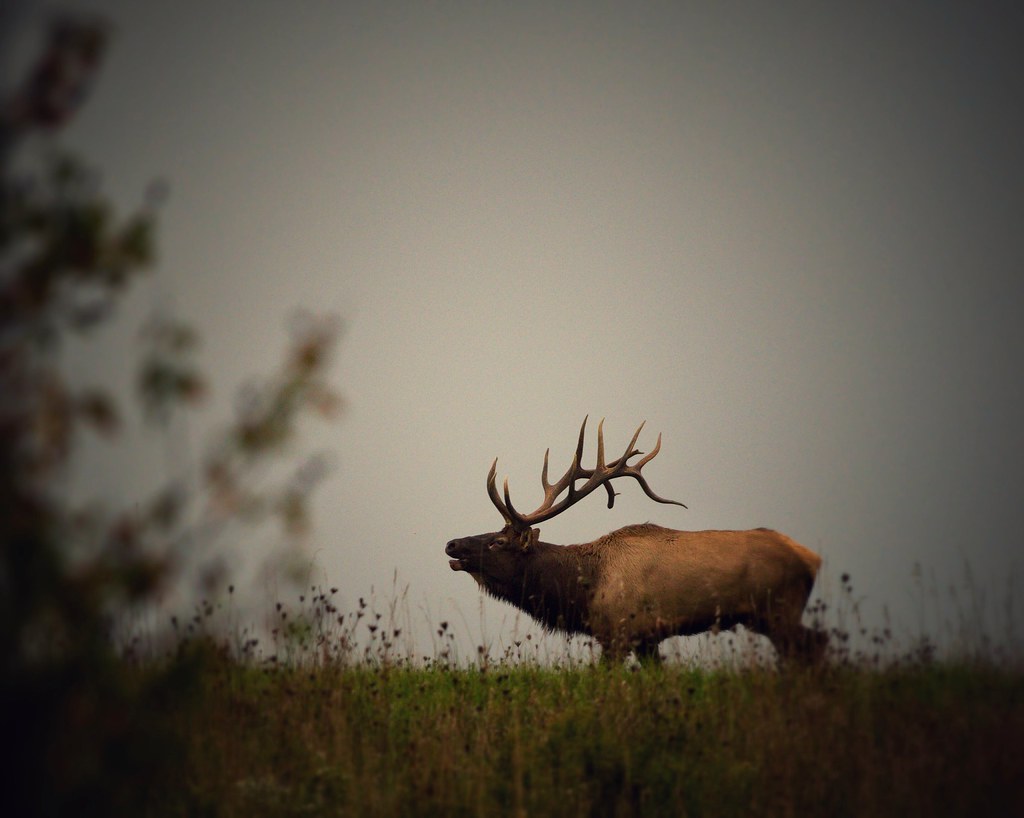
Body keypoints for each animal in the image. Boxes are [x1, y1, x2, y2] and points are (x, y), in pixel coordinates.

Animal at [445, 418, 826, 664]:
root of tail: (811, 558)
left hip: (779, 608)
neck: (582, 591)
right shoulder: (647, 639)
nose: (452, 544)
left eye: (497, 541)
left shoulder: (618, 631)